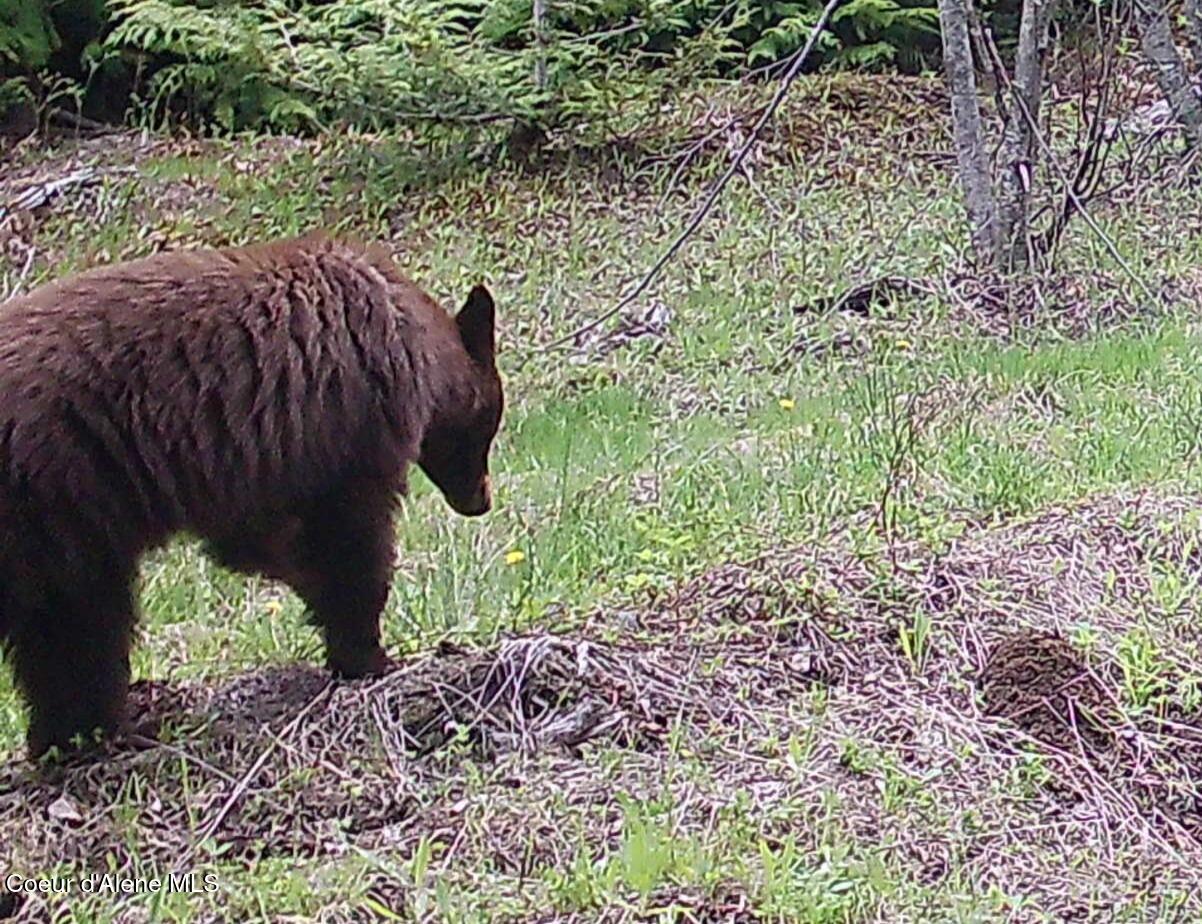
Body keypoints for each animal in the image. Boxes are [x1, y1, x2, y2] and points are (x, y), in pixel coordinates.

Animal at [0, 232, 503, 758]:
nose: (480, 501)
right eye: (491, 423)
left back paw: (74, 736)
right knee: (78, 626)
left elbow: (256, 541)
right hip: (57, 494)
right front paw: (367, 653)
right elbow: (349, 543)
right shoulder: (346, 433)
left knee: (66, 630)